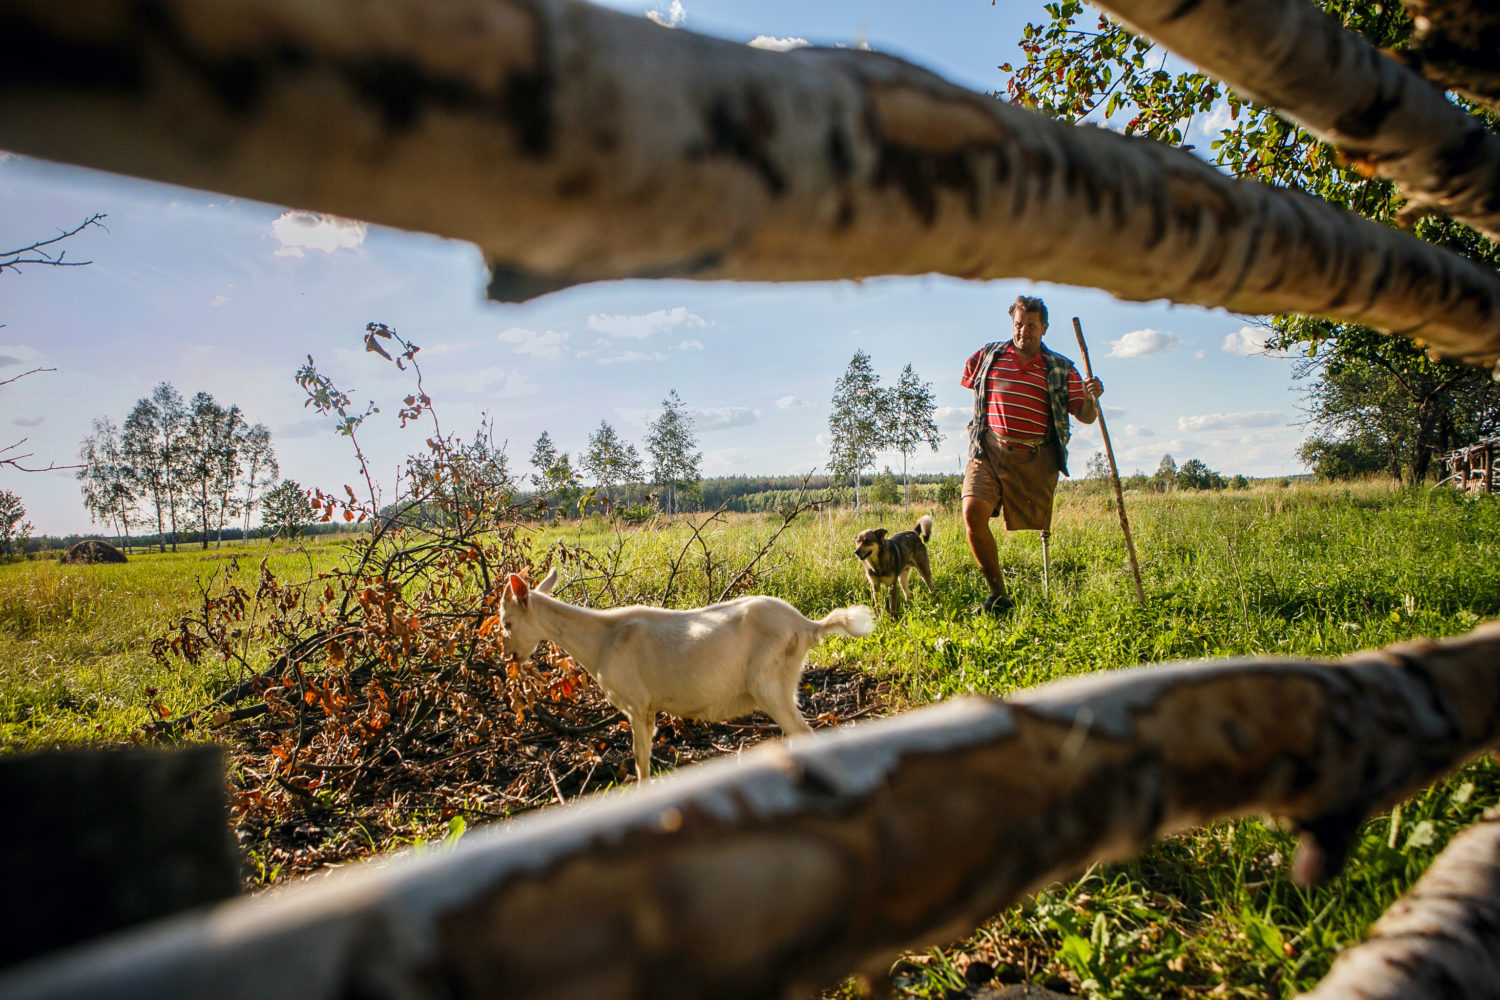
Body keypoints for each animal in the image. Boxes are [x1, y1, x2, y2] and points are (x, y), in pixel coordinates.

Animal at [501, 569, 876, 779]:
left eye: (506, 622)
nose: (509, 655)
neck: (603, 639)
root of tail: (805, 625)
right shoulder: (649, 708)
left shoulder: (637, 704)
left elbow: (640, 758)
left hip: (769, 683)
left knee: (803, 733)